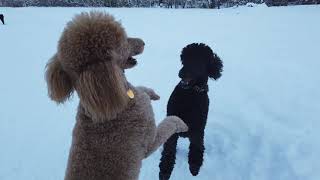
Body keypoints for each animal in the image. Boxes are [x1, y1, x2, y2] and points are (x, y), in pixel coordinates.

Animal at [159, 43, 224, 179]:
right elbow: (169, 151)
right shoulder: (173, 127)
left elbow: (197, 147)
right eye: (184, 60)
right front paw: (164, 172)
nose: (180, 74)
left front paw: (194, 166)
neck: (191, 94)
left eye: (197, 61)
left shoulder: (198, 130)